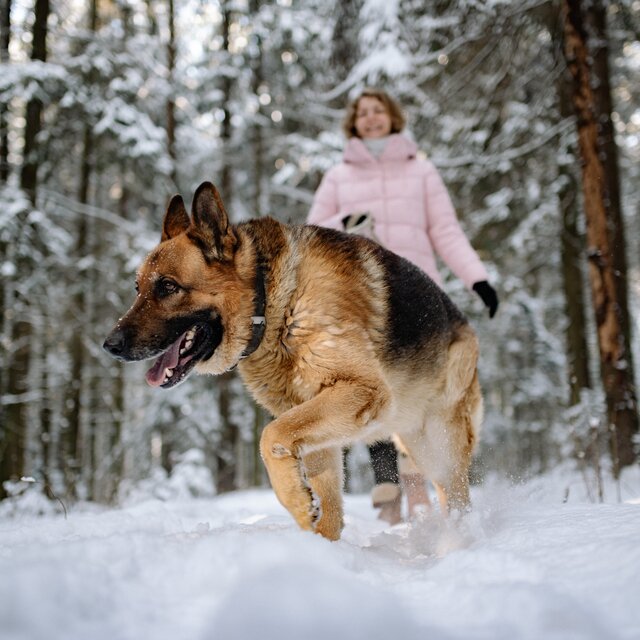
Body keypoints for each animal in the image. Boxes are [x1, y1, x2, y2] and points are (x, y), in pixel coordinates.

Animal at [104, 180, 480, 540]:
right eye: (138, 288)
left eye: (168, 287)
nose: (110, 345)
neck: (273, 303)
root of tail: (462, 321)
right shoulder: (310, 428)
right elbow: (326, 508)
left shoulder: (360, 390)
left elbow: (269, 437)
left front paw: (298, 504)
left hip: (438, 446)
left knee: (455, 497)